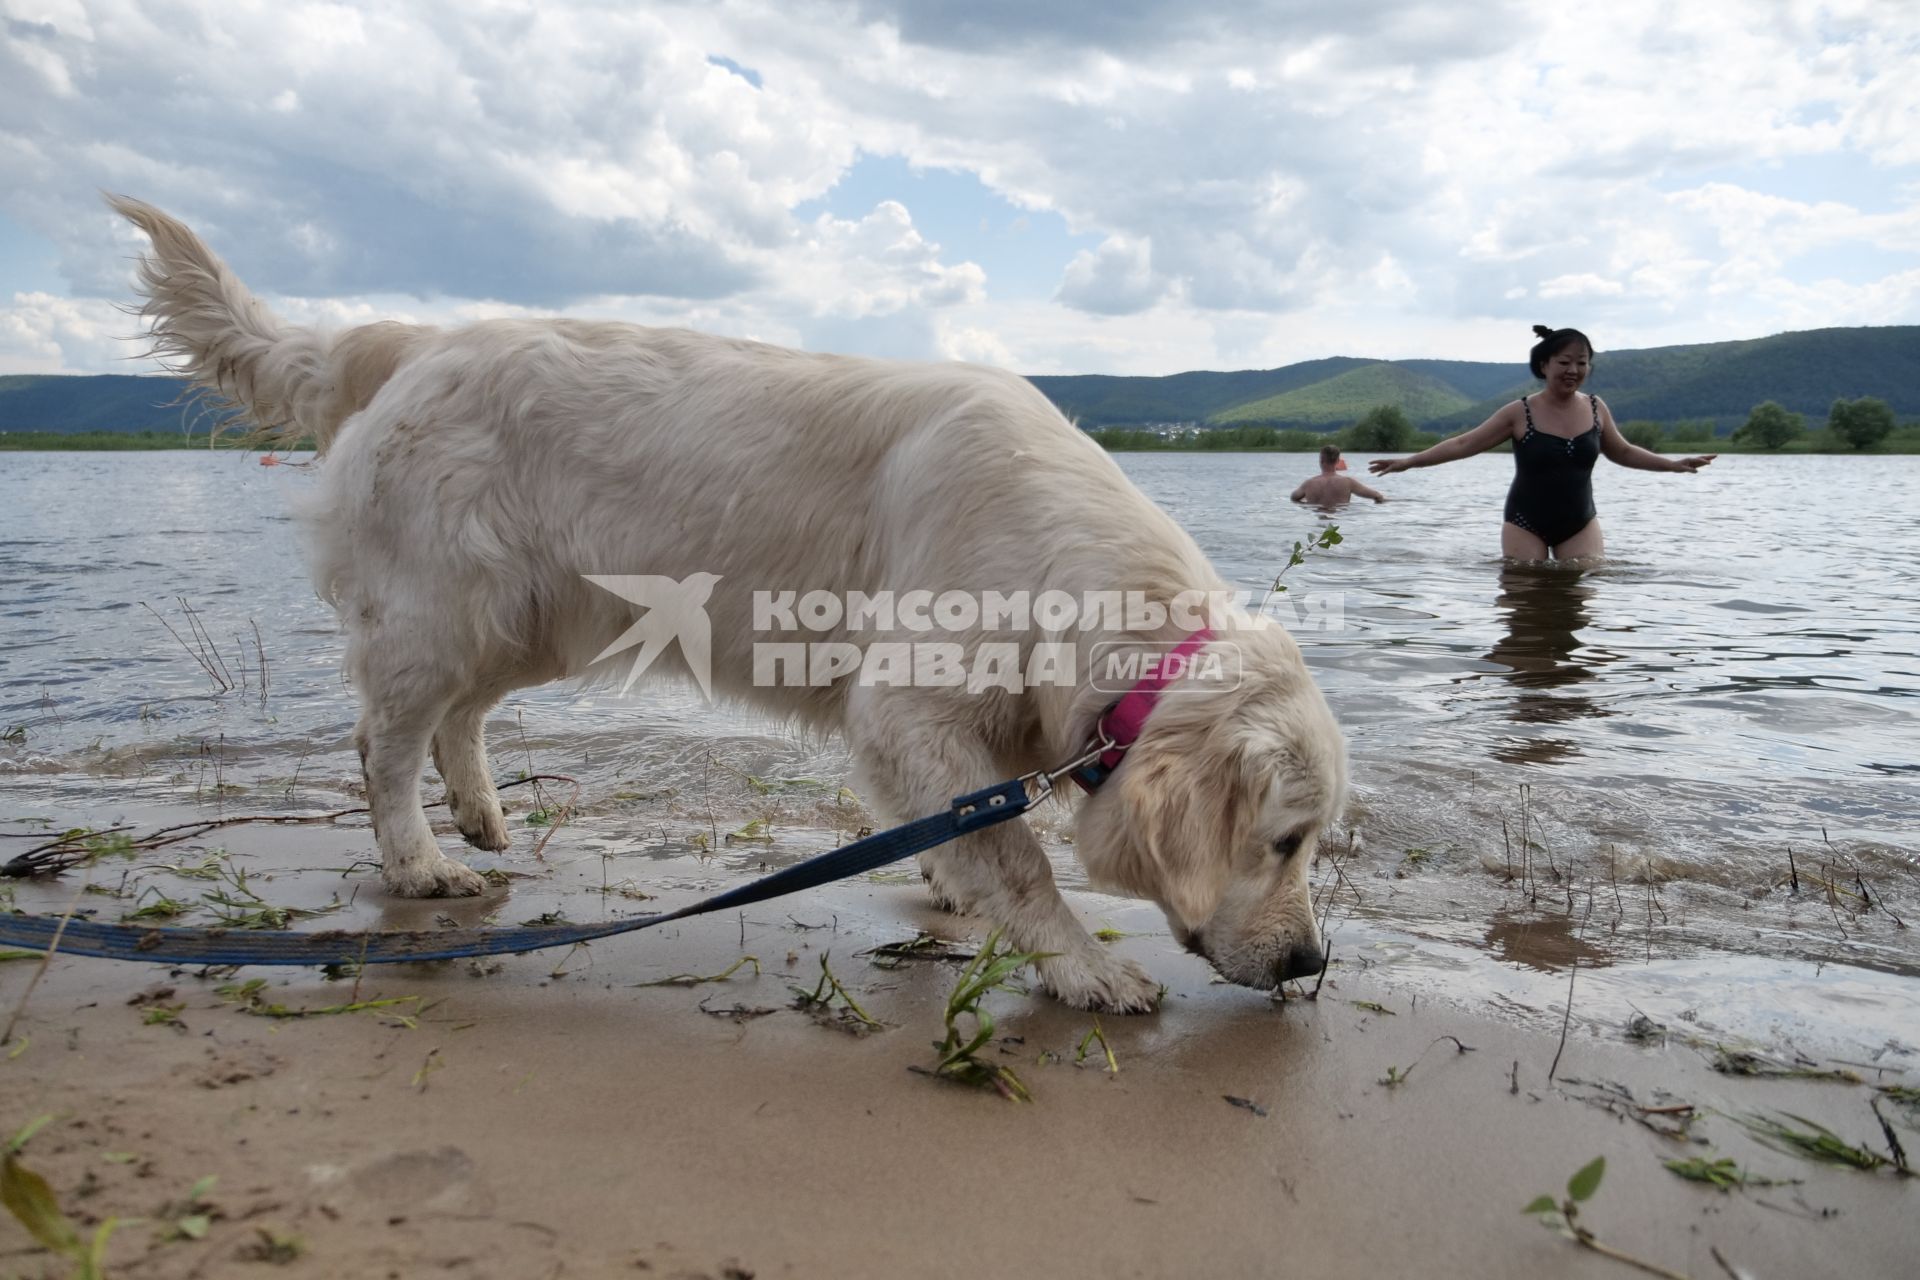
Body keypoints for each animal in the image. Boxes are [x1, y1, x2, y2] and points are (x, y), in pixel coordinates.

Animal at [112, 195, 1344, 1013]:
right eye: (1285, 840)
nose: (1311, 963)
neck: (1071, 566)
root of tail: (412, 340)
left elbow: (973, 828)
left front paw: (950, 882)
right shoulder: (907, 701)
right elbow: (1019, 853)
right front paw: (1084, 964)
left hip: (539, 616)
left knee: (457, 718)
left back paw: (482, 813)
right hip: (444, 611)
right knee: (382, 740)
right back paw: (420, 862)